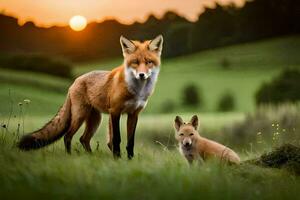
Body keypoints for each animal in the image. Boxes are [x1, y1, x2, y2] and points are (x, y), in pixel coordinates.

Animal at [18, 34, 164, 159]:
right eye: (135, 62)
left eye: (149, 62)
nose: (141, 75)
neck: (136, 91)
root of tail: (74, 82)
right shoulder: (115, 111)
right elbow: (117, 139)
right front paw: (117, 159)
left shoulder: (134, 114)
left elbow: (130, 141)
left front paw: (129, 160)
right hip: (80, 115)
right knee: (68, 136)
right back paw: (70, 156)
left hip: (95, 119)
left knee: (84, 139)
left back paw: (91, 157)